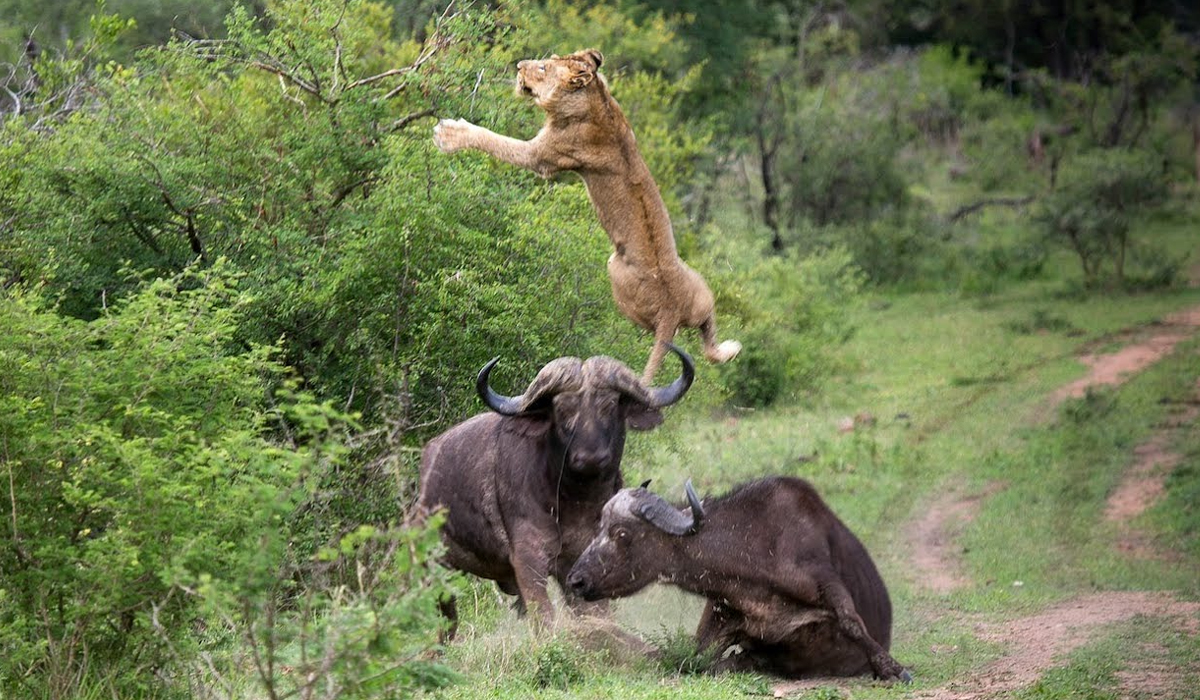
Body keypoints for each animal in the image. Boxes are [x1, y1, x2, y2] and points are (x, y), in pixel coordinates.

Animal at [417, 345, 696, 629]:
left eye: (608, 406)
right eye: (563, 410)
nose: (590, 458)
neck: (573, 502)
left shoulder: (580, 563)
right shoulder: (528, 561)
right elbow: (544, 618)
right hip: (435, 573)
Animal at [561, 480, 907, 681]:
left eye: (621, 533)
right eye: (598, 527)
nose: (575, 581)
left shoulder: (825, 580)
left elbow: (851, 622)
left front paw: (892, 668)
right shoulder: (719, 617)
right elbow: (691, 658)